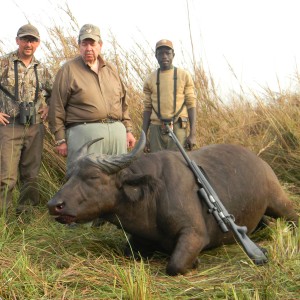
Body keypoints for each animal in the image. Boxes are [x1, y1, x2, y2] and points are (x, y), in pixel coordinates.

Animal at [47, 130, 298, 276]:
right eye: (69, 176)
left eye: (93, 177)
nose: (54, 205)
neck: (152, 198)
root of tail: (261, 162)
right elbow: (129, 252)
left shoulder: (195, 235)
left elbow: (175, 264)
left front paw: (194, 263)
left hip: (279, 202)